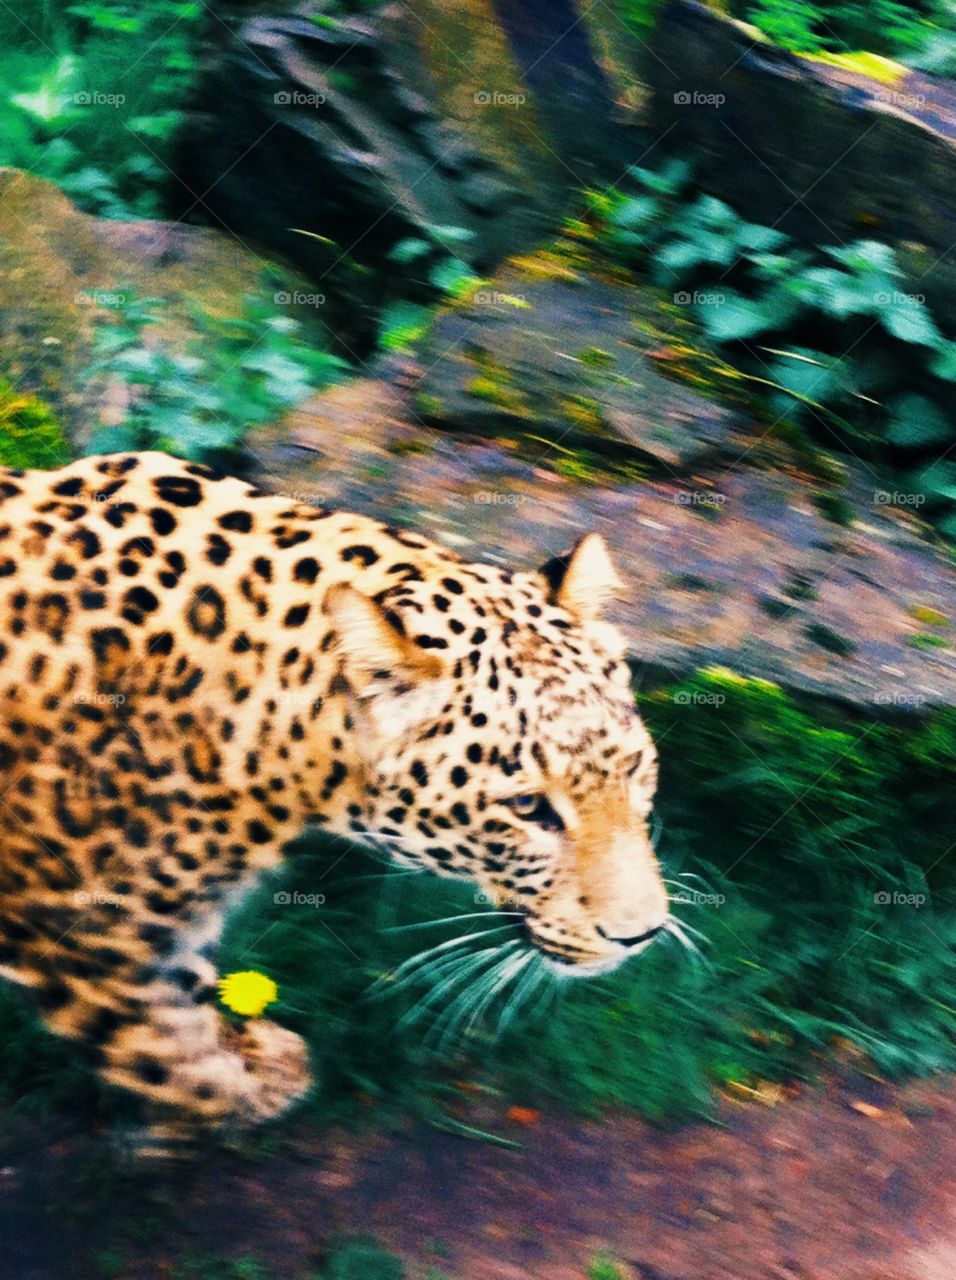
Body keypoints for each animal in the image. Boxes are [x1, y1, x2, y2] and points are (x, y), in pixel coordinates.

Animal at [0, 451, 667, 1153]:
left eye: (633, 768)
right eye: (528, 809)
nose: (641, 934)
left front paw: (247, 1055)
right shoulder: (67, 925)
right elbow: (164, 1054)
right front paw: (237, 1095)